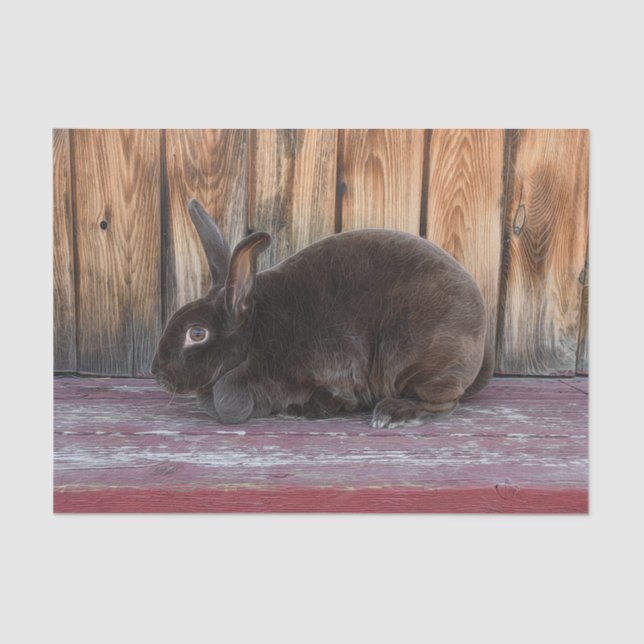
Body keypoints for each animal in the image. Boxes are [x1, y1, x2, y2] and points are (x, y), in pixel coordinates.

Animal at [151, 198, 494, 428]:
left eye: (197, 333)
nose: (156, 372)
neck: (253, 338)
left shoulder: (334, 373)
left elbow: (332, 400)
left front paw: (294, 411)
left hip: (421, 361)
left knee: (445, 402)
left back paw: (393, 413)